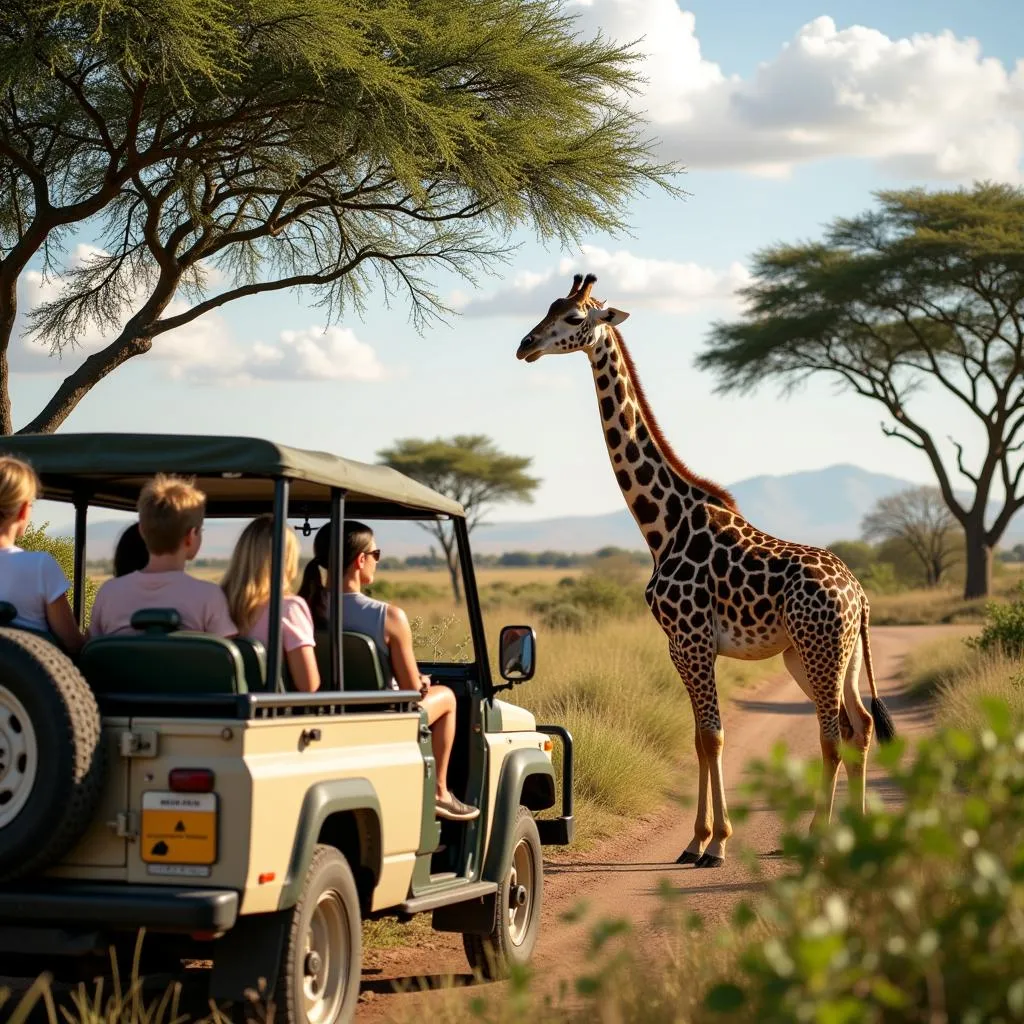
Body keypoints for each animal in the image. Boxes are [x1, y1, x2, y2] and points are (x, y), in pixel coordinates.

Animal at [516, 270, 892, 864]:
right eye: (546, 310)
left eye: (573, 318)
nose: (525, 345)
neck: (661, 525)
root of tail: (859, 595)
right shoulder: (682, 646)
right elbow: (699, 737)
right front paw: (697, 840)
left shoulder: (690, 640)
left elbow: (713, 736)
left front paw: (715, 843)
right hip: (828, 654)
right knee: (860, 727)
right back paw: (854, 830)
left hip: (820, 648)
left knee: (832, 735)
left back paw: (819, 835)